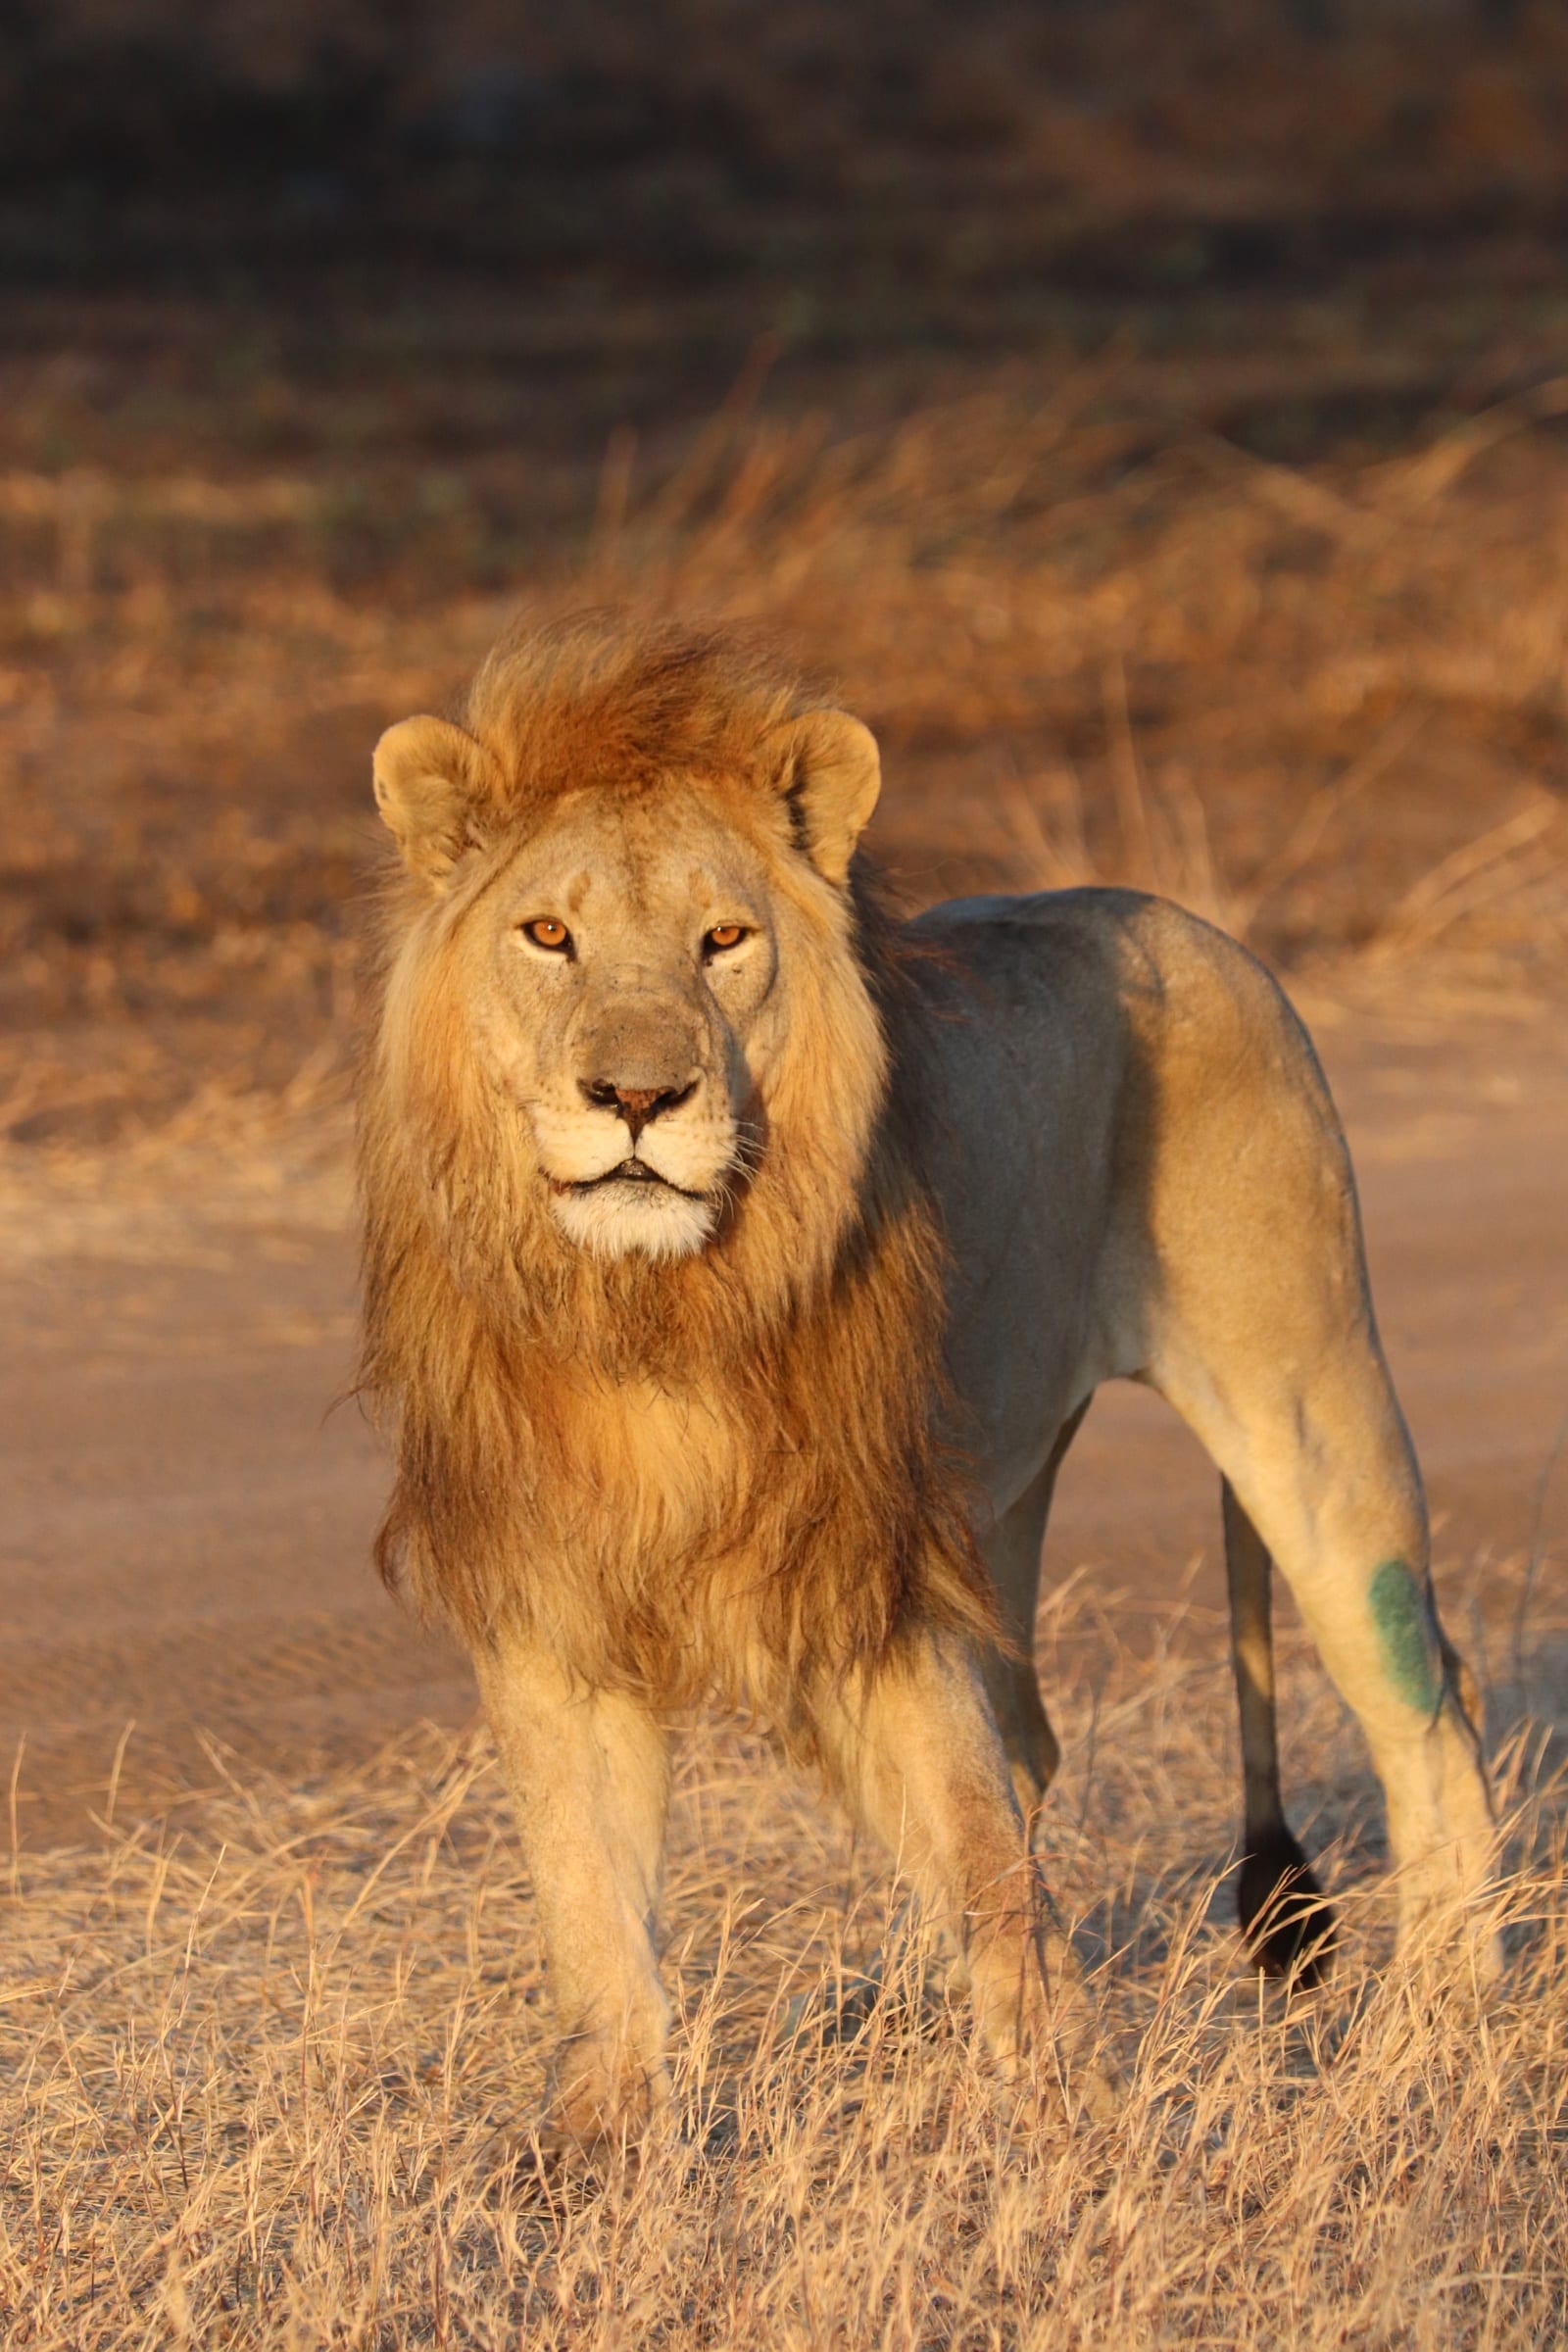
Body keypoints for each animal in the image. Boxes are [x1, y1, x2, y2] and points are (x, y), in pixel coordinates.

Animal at [358, 613, 1496, 2145]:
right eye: (549, 935)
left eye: (724, 942)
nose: (640, 1098)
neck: (657, 1312)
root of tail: (1196, 923)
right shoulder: (552, 1608)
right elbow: (594, 1916)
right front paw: (602, 2157)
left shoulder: (881, 1571)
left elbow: (975, 1850)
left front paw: (1062, 2124)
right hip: (1001, 1490)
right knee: (1031, 1744)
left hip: (1305, 1398)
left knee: (1426, 1710)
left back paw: (1442, 2029)